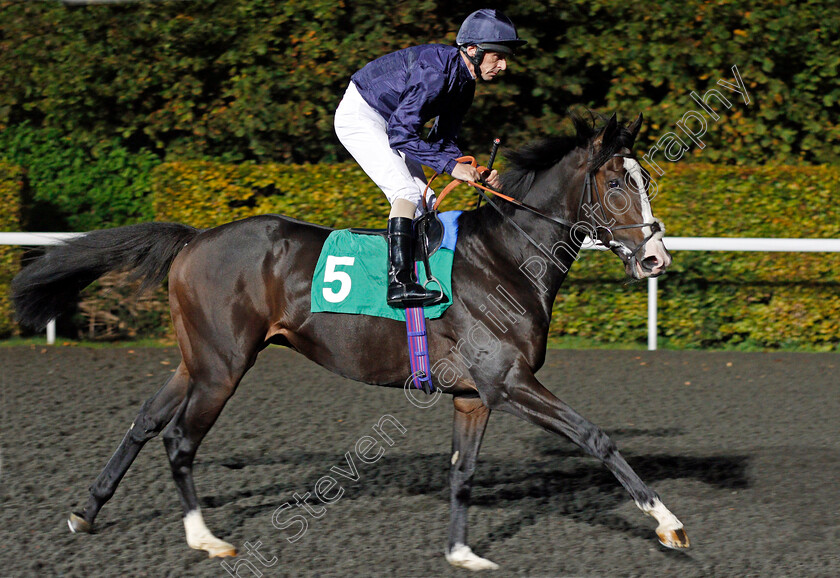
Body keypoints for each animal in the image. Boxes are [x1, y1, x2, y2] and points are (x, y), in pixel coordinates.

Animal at [9, 111, 684, 568]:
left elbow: (463, 471)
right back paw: (204, 537)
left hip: (197, 359)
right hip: (224, 365)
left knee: (147, 420)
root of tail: (196, 237)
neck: (506, 260)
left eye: (644, 182)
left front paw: (462, 553)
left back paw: (85, 511)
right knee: (179, 438)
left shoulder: (474, 395)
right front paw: (668, 523)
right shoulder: (509, 381)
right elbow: (595, 436)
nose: (656, 257)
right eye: (617, 186)